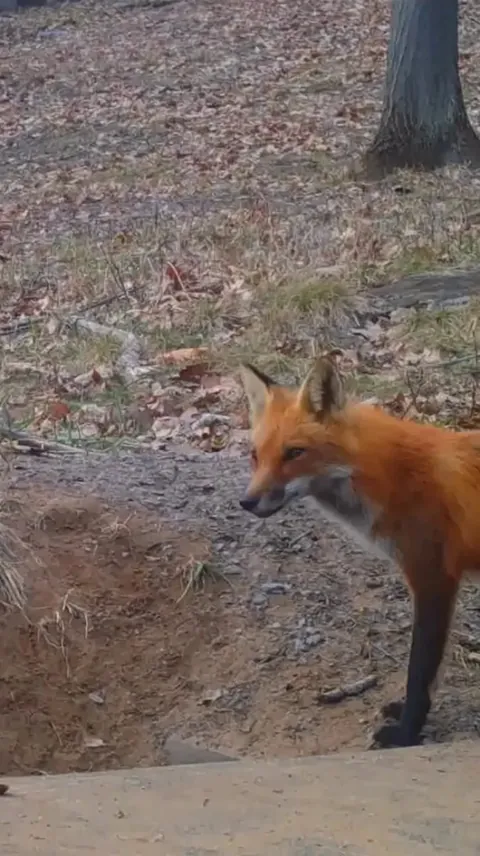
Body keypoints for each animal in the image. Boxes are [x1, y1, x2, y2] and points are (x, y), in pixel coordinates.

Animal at [238, 354, 480, 749]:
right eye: (255, 455)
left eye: (294, 453)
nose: (247, 502)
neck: (388, 474)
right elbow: (431, 674)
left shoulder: (434, 581)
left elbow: (420, 672)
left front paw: (406, 733)